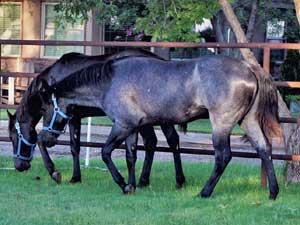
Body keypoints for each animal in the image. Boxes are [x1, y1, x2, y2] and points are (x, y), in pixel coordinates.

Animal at [7, 49, 185, 190]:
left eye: (13, 137)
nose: (18, 166)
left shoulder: (70, 118)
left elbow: (62, 145)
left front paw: (57, 173)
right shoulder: (75, 118)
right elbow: (75, 147)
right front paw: (75, 177)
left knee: (163, 141)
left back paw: (172, 181)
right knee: (160, 141)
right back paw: (148, 181)